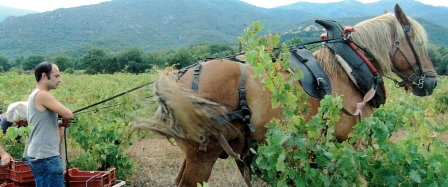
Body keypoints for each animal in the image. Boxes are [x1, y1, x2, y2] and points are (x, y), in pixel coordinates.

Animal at [134, 3, 438, 186]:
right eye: (419, 42)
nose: (433, 82)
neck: (348, 69)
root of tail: (179, 76)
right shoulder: (350, 143)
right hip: (204, 155)